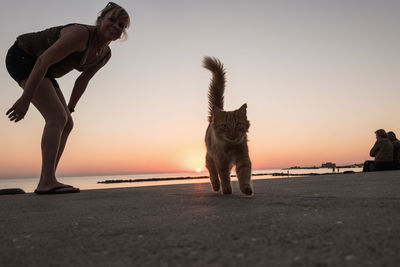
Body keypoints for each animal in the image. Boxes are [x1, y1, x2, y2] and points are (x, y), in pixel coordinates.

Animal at [203, 56, 253, 197]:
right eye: (225, 126)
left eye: (238, 124)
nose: (232, 134)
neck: (230, 147)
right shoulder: (221, 161)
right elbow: (224, 176)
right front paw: (226, 190)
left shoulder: (243, 156)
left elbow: (244, 174)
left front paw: (246, 189)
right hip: (210, 157)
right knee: (212, 172)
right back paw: (216, 186)